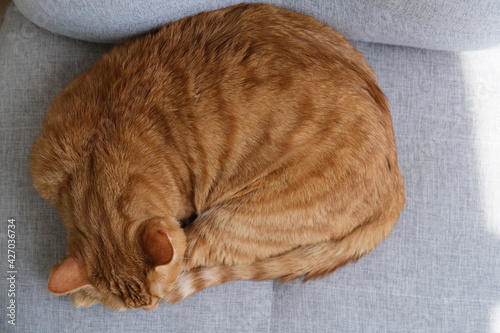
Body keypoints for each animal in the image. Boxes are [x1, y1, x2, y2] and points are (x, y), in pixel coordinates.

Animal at [29, 2, 406, 310]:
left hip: (226, 223)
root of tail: (396, 181)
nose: (154, 306)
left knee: (197, 253)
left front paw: (83, 295)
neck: (95, 155)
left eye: (152, 303)